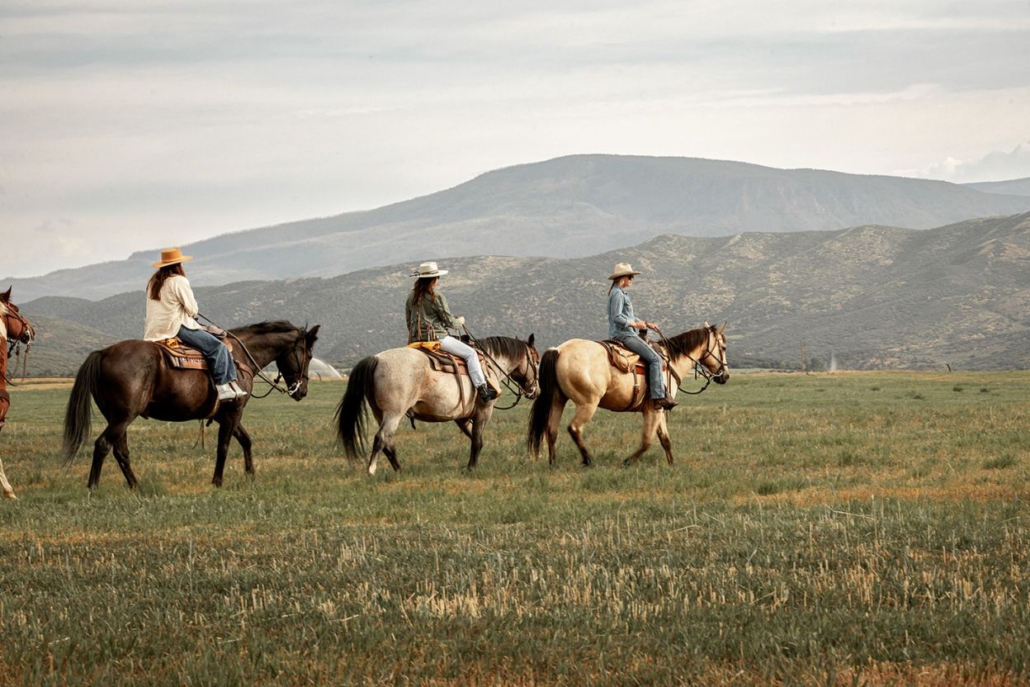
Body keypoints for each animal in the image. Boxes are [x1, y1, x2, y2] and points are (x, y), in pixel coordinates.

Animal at [62, 321, 319, 488]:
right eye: (308, 355)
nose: (303, 391)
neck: (240, 357)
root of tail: (102, 353)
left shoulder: (225, 414)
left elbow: (246, 440)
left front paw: (250, 474)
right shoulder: (233, 412)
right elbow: (223, 447)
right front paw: (217, 482)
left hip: (117, 418)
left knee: (120, 451)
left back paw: (137, 486)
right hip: (123, 417)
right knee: (103, 445)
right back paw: (93, 487)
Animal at [339, 335, 547, 475]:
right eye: (537, 361)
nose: (536, 391)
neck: (488, 364)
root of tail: (376, 359)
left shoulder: (461, 417)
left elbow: (475, 440)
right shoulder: (484, 411)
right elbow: (477, 440)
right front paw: (471, 469)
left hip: (380, 413)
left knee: (388, 441)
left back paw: (399, 470)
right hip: (394, 413)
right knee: (381, 438)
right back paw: (371, 470)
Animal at [527, 323, 729, 467]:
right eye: (724, 347)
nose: (725, 376)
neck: (669, 362)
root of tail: (559, 350)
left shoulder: (658, 408)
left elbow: (665, 439)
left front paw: (672, 465)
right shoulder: (653, 410)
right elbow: (647, 441)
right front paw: (627, 461)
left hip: (558, 400)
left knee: (551, 430)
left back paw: (553, 463)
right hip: (588, 403)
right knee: (574, 428)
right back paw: (588, 459)